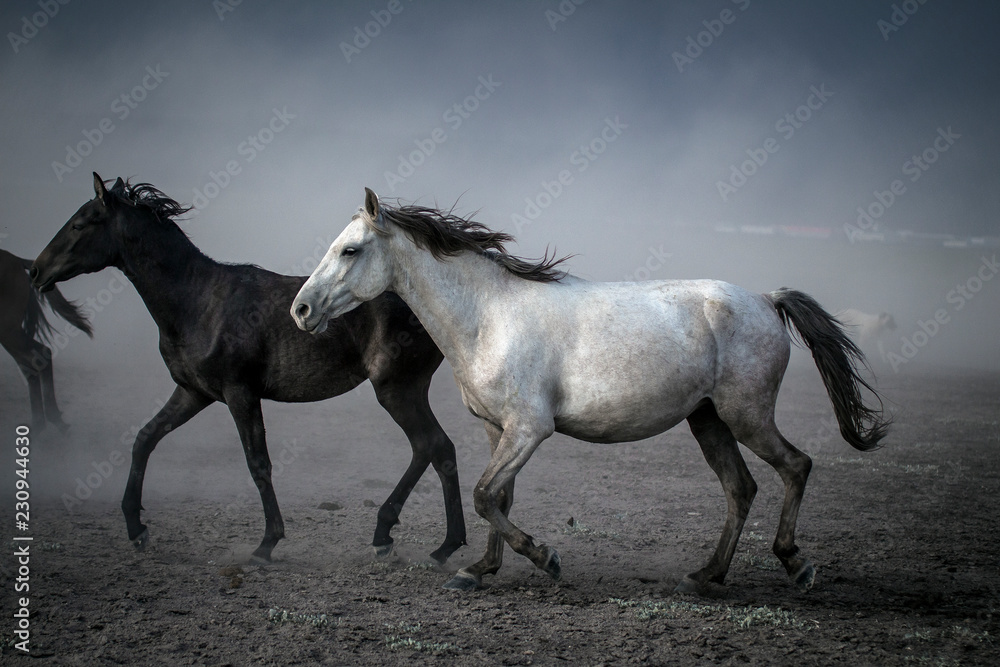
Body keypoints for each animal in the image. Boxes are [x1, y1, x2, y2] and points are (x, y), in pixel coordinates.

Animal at [1, 248, 92, 431]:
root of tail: (16, 260)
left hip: (8, 330)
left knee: (39, 355)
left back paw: (50, 421)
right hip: (9, 334)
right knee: (29, 365)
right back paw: (39, 425)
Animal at [31, 173, 466, 564]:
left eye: (79, 224)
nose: (35, 271)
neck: (198, 302)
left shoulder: (240, 393)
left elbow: (258, 464)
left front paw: (267, 543)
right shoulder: (193, 393)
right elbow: (145, 438)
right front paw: (136, 529)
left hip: (395, 388)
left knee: (432, 445)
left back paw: (404, 538)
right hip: (404, 390)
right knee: (435, 448)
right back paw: (435, 543)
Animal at [290, 188, 891, 593]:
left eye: (350, 250)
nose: (301, 309)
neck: (489, 317)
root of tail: (767, 300)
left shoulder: (530, 429)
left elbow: (485, 496)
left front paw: (545, 557)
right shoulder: (496, 429)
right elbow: (496, 497)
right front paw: (479, 570)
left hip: (747, 415)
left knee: (795, 466)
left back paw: (796, 564)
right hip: (708, 420)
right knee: (740, 489)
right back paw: (706, 575)